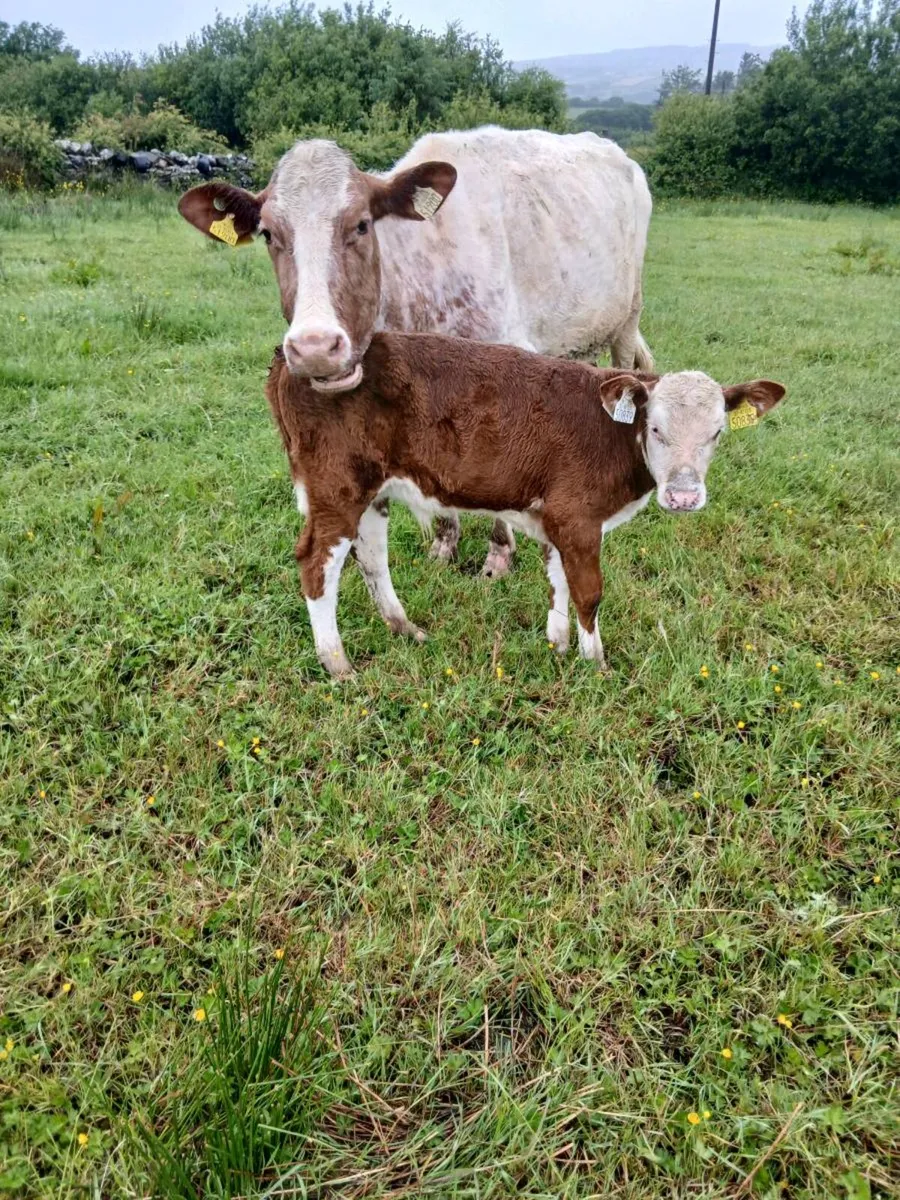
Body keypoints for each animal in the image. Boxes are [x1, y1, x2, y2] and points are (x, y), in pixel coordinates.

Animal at [177, 126, 653, 577]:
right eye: (268, 234)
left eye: (362, 224)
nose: (315, 349)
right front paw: (444, 548)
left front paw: (498, 557)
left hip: (628, 318)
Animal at [263, 331, 785, 679]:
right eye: (655, 428)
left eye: (717, 433)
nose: (683, 495)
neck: (612, 432)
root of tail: (289, 361)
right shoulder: (577, 515)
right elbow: (588, 592)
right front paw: (596, 665)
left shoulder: (555, 515)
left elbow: (557, 582)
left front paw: (558, 646)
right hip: (337, 485)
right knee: (317, 563)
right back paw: (338, 664)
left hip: (373, 488)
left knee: (371, 556)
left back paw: (405, 629)